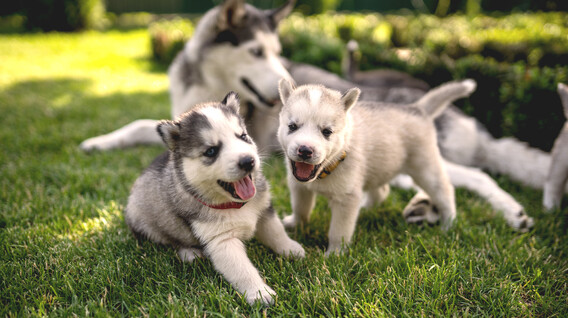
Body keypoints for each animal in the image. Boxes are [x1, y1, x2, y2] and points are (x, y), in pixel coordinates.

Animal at [125, 90, 306, 304]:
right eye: (211, 151)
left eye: (243, 136)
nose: (248, 161)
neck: (236, 205)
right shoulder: (221, 241)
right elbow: (243, 270)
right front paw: (260, 293)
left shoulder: (264, 211)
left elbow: (276, 232)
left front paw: (291, 249)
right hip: (145, 222)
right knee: (169, 240)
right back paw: (190, 253)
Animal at [278, 79, 478, 256]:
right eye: (292, 126)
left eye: (326, 132)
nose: (305, 150)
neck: (326, 170)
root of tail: (418, 109)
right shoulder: (299, 187)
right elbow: (300, 209)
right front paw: (294, 224)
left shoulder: (346, 199)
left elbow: (338, 231)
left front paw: (335, 254)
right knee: (382, 191)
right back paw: (366, 208)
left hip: (426, 170)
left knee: (445, 192)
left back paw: (448, 224)